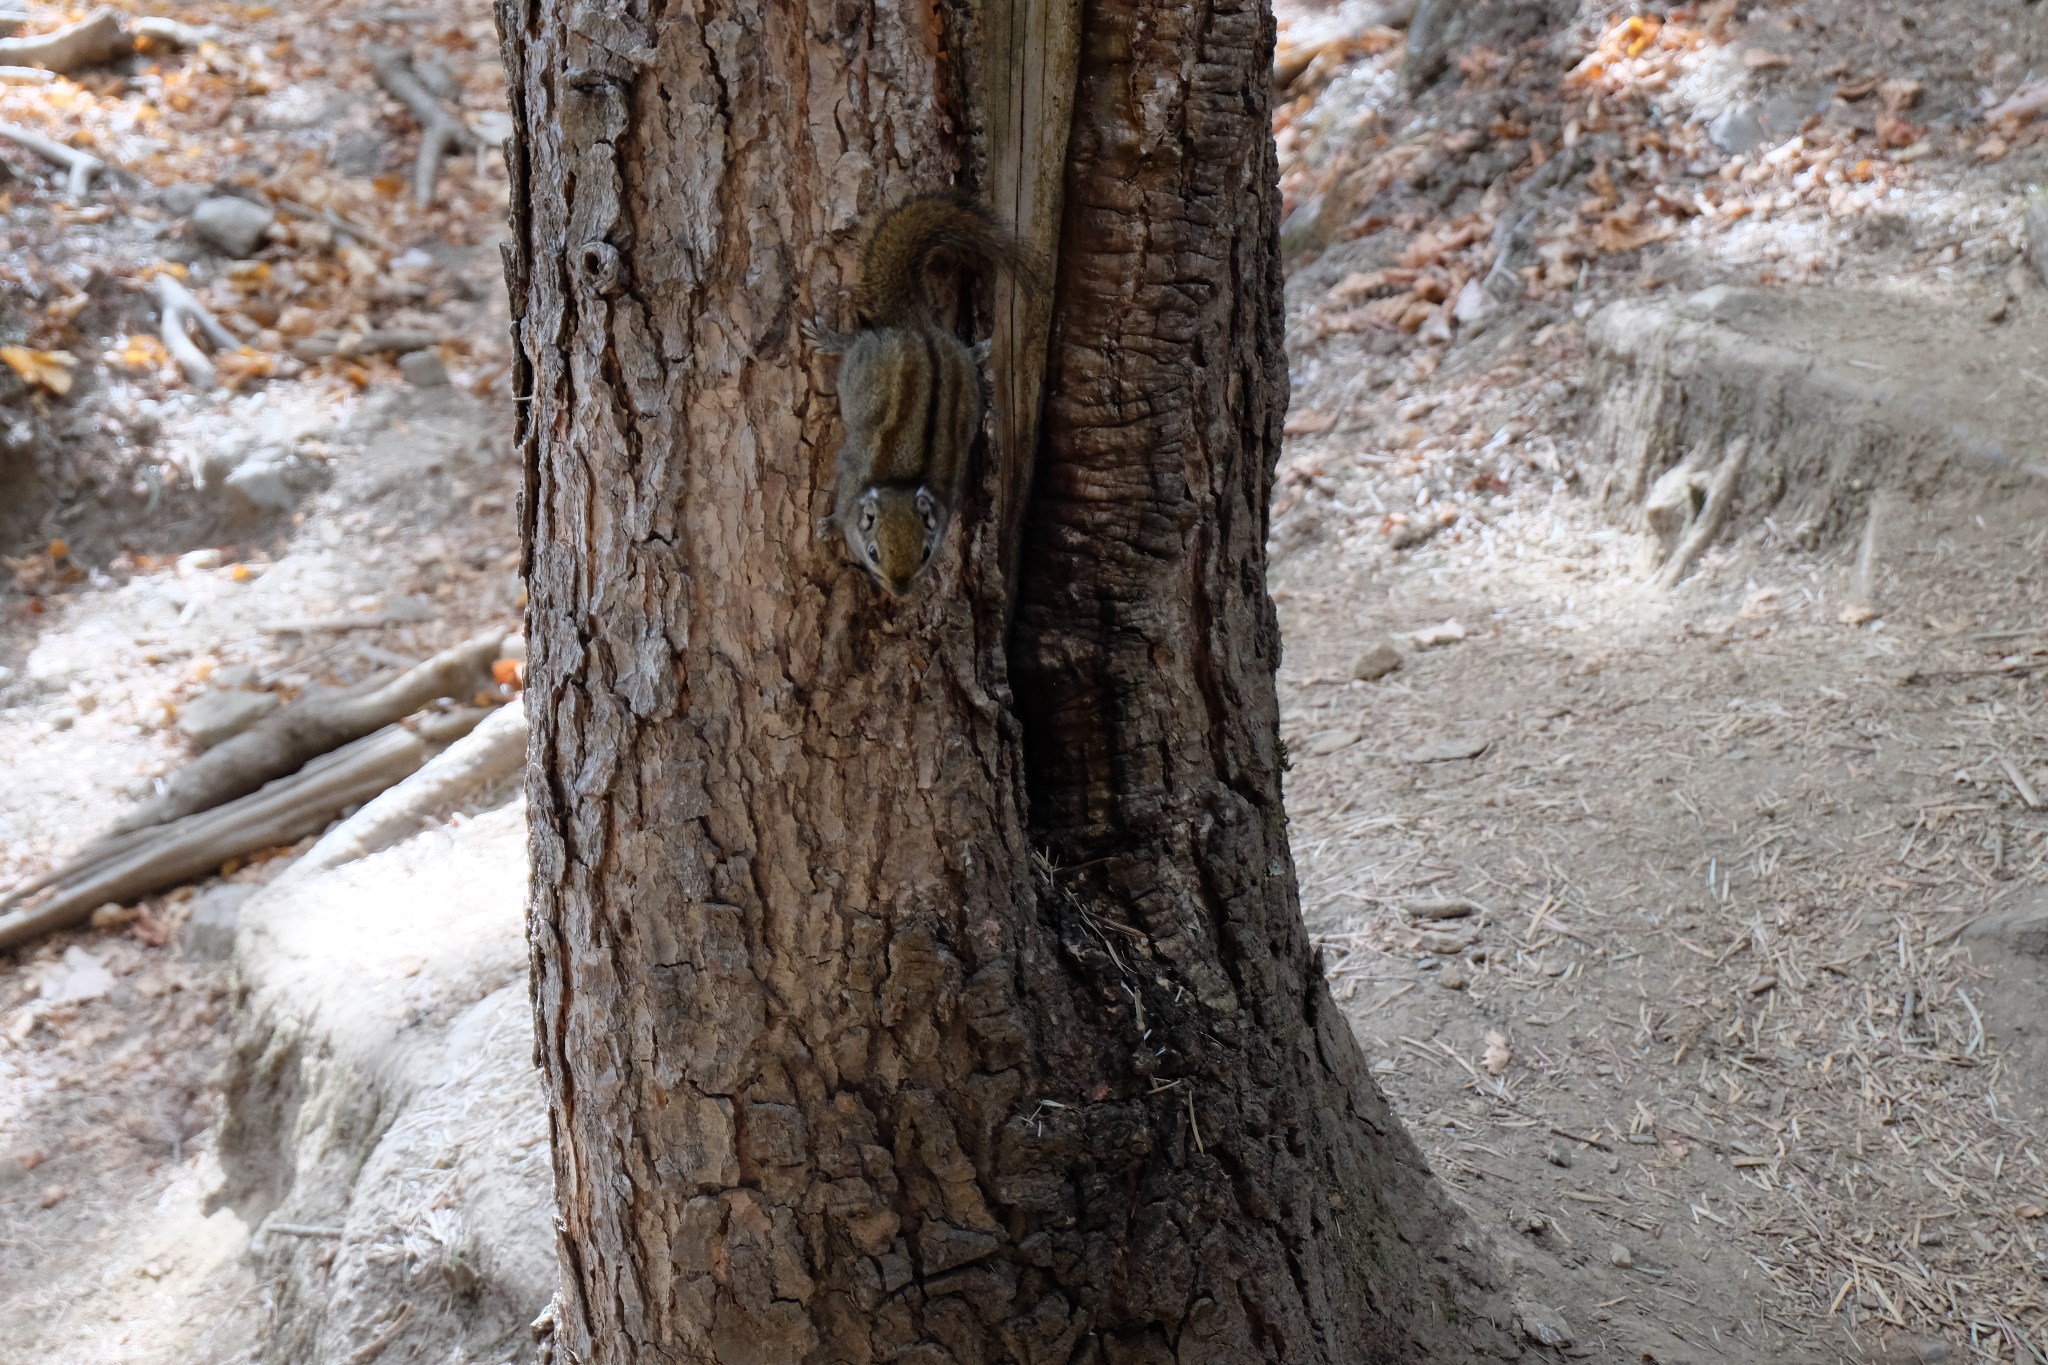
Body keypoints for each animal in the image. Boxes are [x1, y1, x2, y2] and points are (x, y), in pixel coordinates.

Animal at [806, 196, 1040, 597]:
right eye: (873, 552)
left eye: (926, 553)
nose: (899, 593)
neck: (899, 485)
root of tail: (918, 329)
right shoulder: (850, 478)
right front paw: (833, 525)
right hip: (862, 364)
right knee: (853, 344)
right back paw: (831, 340)